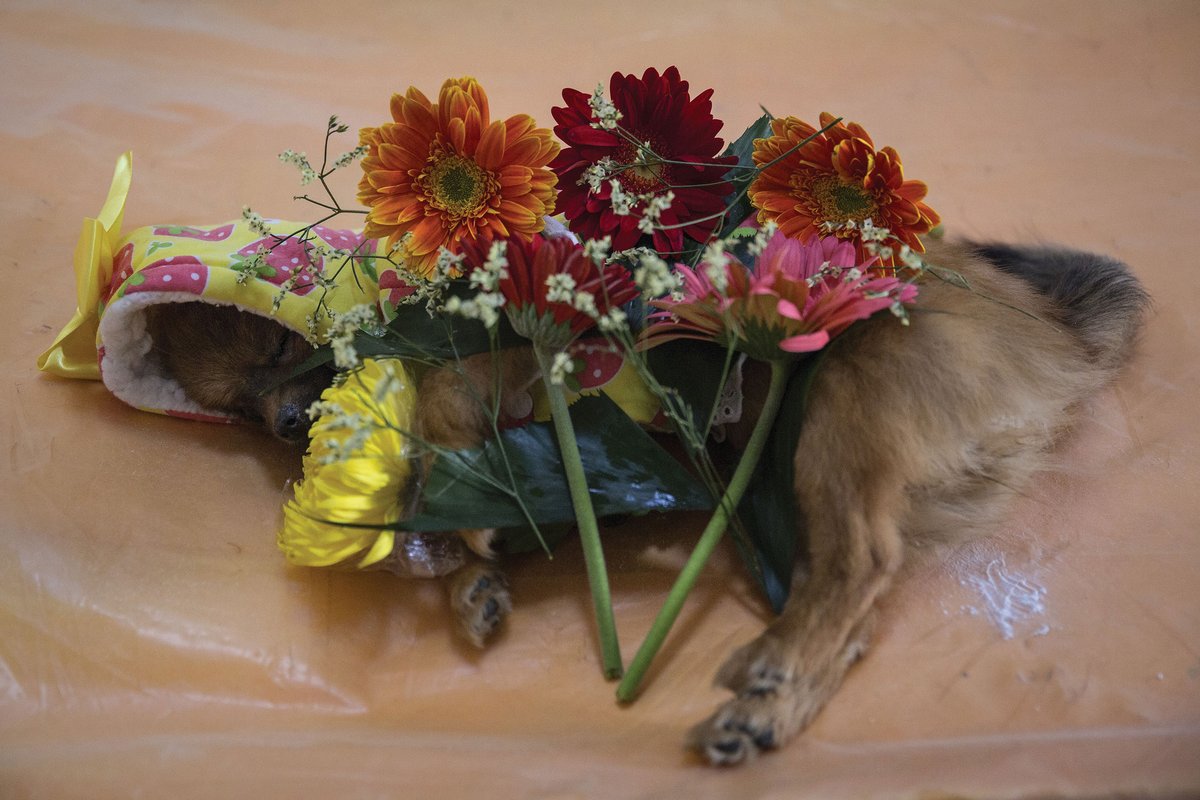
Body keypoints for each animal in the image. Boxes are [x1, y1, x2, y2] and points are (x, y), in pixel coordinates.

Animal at [145, 239, 1147, 767]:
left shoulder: (502, 370)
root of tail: (1053, 329)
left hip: (831, 416)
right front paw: (470, 575)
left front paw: (465, 525)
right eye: (237, 408)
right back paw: (765, 710)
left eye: (282, 352)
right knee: (854, 608)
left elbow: (445, 427)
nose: (285, 423)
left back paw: (771, 667)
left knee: (861, 561)